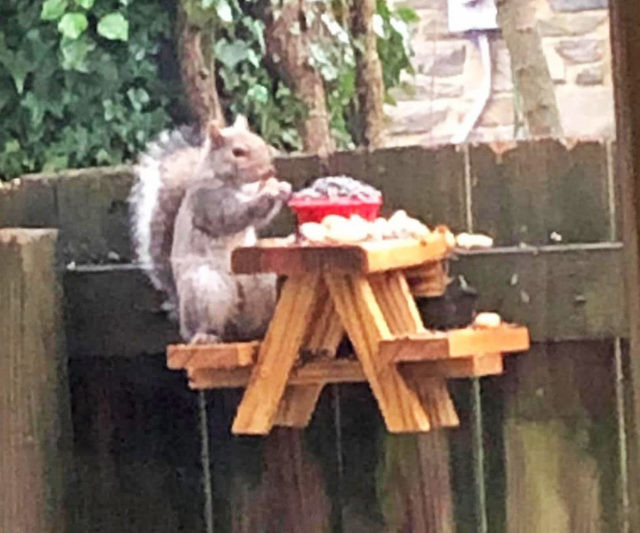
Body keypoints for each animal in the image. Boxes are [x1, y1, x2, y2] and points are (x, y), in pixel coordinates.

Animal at [130, 114, 290, 342]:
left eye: (260, 140)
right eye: (237, 152)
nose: (269, 171)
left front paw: (280, 187)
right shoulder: (207, 201)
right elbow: (232, 216)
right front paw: (269, 192)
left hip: (260, 282)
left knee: (247, 326)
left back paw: (258, 330)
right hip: (205, 289)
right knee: (207, 326)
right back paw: (206, 336)